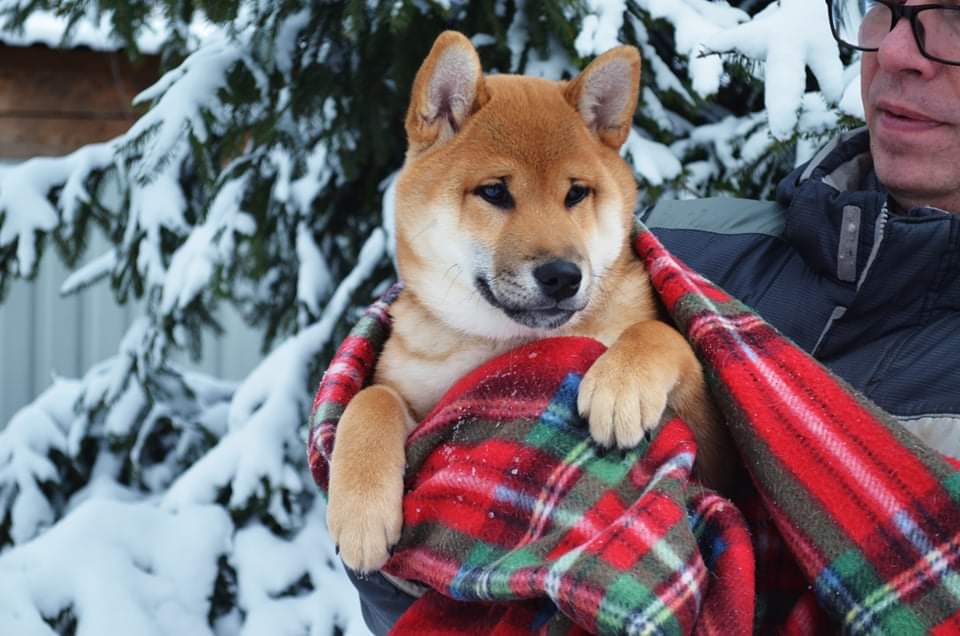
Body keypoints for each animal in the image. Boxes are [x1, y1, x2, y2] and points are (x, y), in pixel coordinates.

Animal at [326, 32, 724, 572]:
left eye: (577, 193)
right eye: (494, 191)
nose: (562, 276)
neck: (506, 343)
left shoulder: (713, 449)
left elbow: (658, 332)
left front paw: (620, 383)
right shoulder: (414, 398)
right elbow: (369, 399)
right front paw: (361, 510)